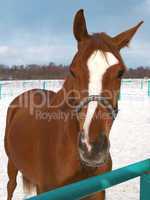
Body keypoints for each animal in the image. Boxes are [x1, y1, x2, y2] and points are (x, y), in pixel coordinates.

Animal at [4, 9, 143, 200]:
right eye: (72, 70)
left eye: (121, 72)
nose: (92, 148)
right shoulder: (45, 189)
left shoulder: (97, 192)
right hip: (11, 162)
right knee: (11, 186)